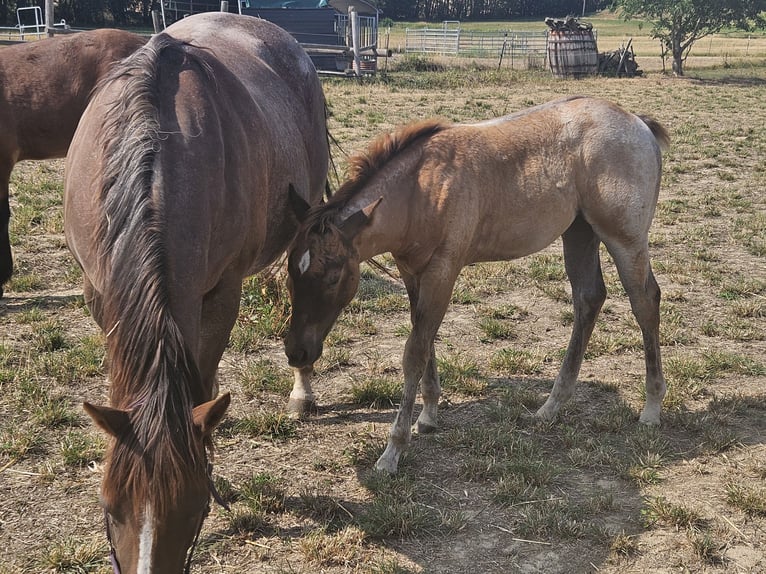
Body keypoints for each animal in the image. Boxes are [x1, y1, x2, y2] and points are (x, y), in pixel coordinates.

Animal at [64, 13, 328, 572]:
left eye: (196, 508)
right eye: (108, 506)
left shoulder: (222, 294)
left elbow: (203, 383)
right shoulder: (99, 296)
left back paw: (302, 388)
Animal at [284, 95, 669, 474]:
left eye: (334, 277)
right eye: (289, 271)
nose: (296, 352)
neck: (420, 191)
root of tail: (637, 121)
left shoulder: (443, 272)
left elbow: (414, 352)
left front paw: (393, 451)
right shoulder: (412, 273)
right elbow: (424, 342)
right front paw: (428, 416)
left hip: (624, 238)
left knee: (644, 301)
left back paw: (652, 408)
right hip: (578, 232)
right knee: (589, 298)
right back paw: (551, 406)